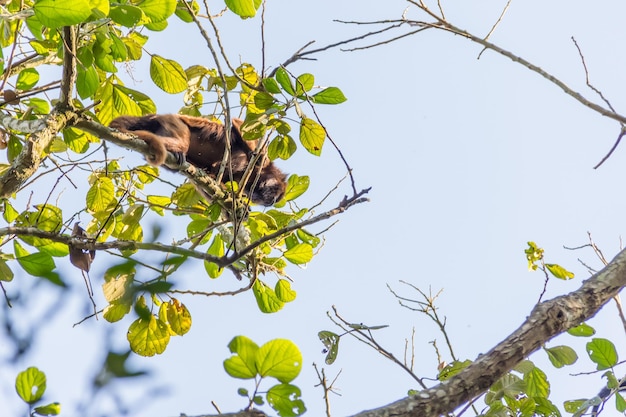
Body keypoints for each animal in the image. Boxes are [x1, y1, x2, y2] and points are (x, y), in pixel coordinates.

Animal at [109, 114, 288, 206]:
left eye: (272, 201)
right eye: (274, 195)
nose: (269, 202)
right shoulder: (263, 160)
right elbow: (238, 125)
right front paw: (255, 156)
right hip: (173, 122)